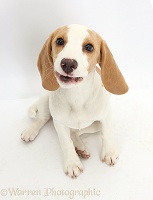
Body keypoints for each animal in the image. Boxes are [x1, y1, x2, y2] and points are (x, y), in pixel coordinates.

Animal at [20, 23, 128, 178]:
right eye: (59, 41)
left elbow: (107, 133)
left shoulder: (105, 116)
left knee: (75, 132)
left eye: (89, 47)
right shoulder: (59, 123)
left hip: (95, 125)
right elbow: (66, 143)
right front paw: (72, 162)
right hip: (47, 101)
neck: (76, 95)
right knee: (43, 119)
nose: (68, 63)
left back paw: (80, 146)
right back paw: (31, 131)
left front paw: (109, 152)